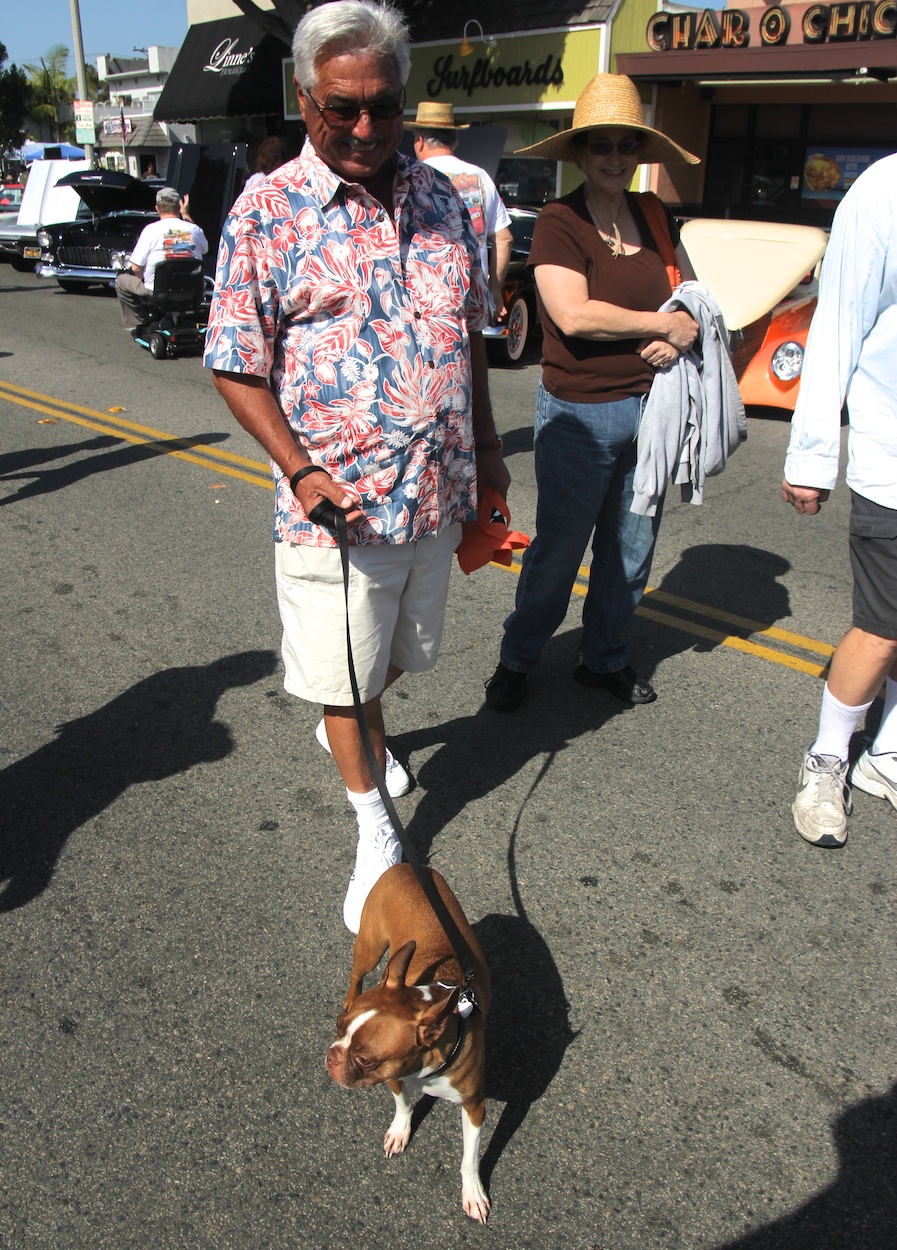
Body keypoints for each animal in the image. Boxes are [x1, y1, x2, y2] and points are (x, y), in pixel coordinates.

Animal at [324, 865, 492, 1215]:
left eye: (364, 1059)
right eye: (337, 1027)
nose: (332, 1056)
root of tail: (406, 867)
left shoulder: (474, 1106)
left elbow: (469, 1159)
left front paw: (472, 1192)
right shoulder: (393, 1076)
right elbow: (402, 1106)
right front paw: (400, 1131)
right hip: (370, 947)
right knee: (357, 974)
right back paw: (350, 996)